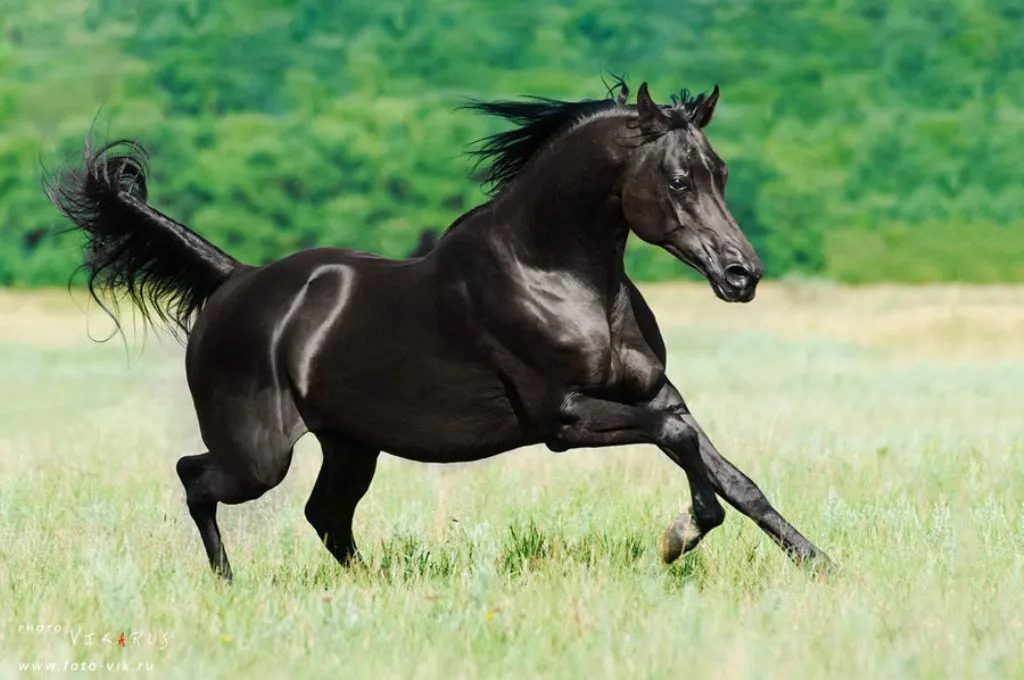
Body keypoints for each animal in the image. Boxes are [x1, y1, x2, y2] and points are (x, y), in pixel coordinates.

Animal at [48, 80, 832, 579]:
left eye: (719, 171)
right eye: (676, 179)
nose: (742, 275)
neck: (556, 271)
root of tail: (232, 279)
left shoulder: (656, 393)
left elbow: (731, 474)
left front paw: (819, 562)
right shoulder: (564, 418)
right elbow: (680, 446)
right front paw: (678, 538)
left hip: (351, 445)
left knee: (325, 516)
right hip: (258, 454)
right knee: (196, 478)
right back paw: (226, 583)